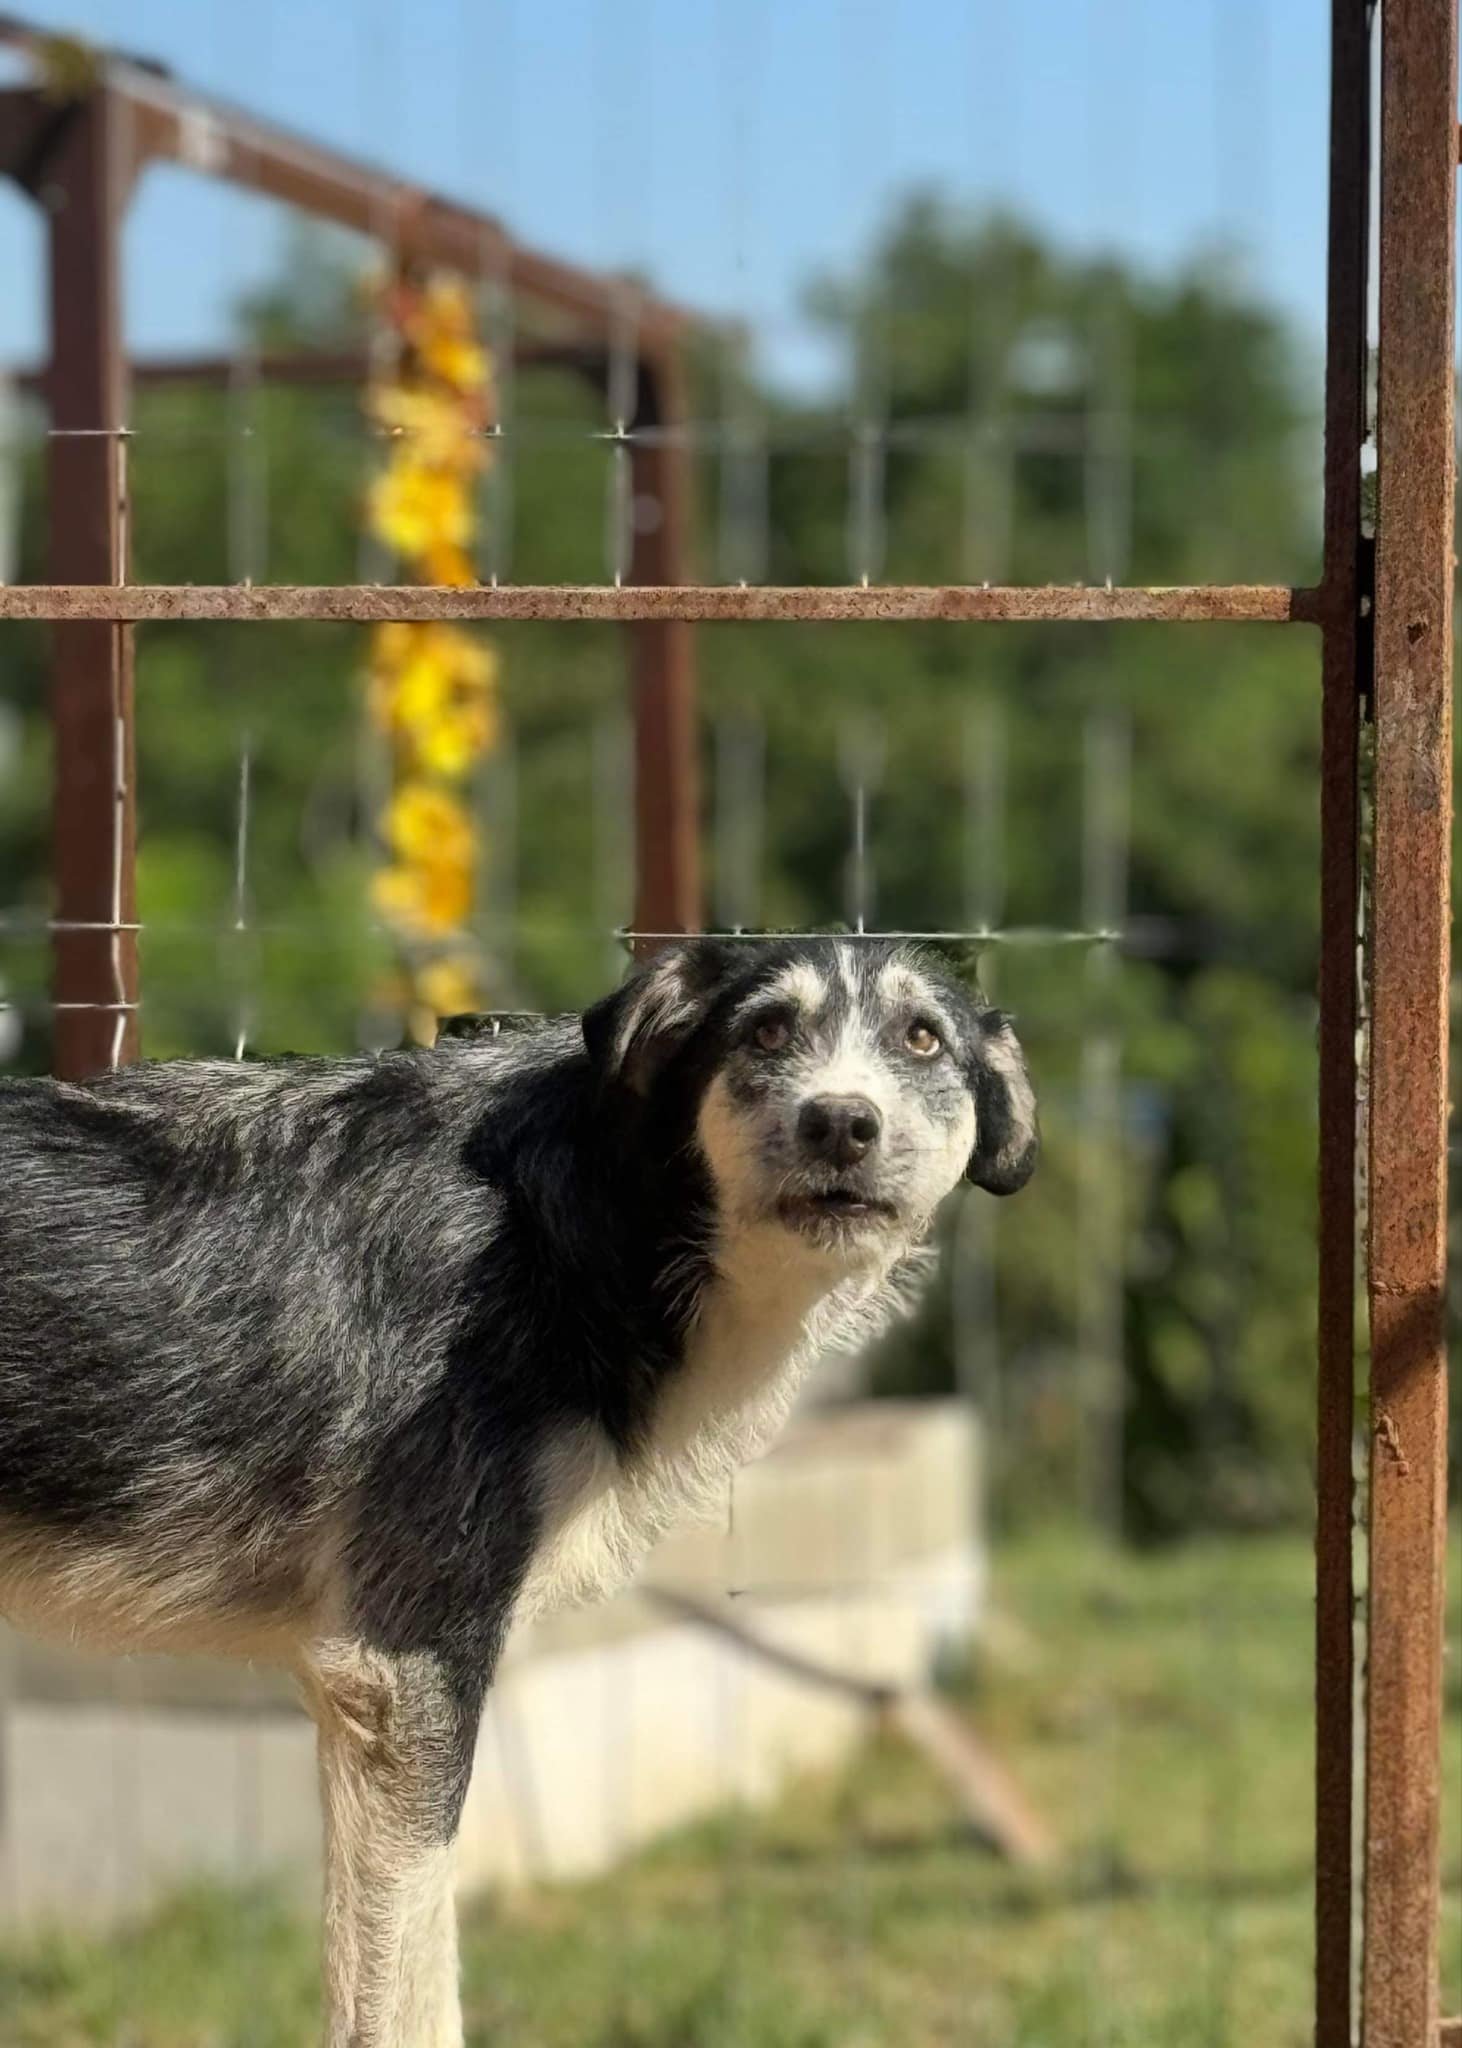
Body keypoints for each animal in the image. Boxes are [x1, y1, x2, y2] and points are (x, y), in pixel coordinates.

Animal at [0, 935, 1037, 2046]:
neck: (568, 1219)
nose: (840, 1121)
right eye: (765, 1031)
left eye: (921, 1038)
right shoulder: (401, 1670)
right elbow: (404, 1998)